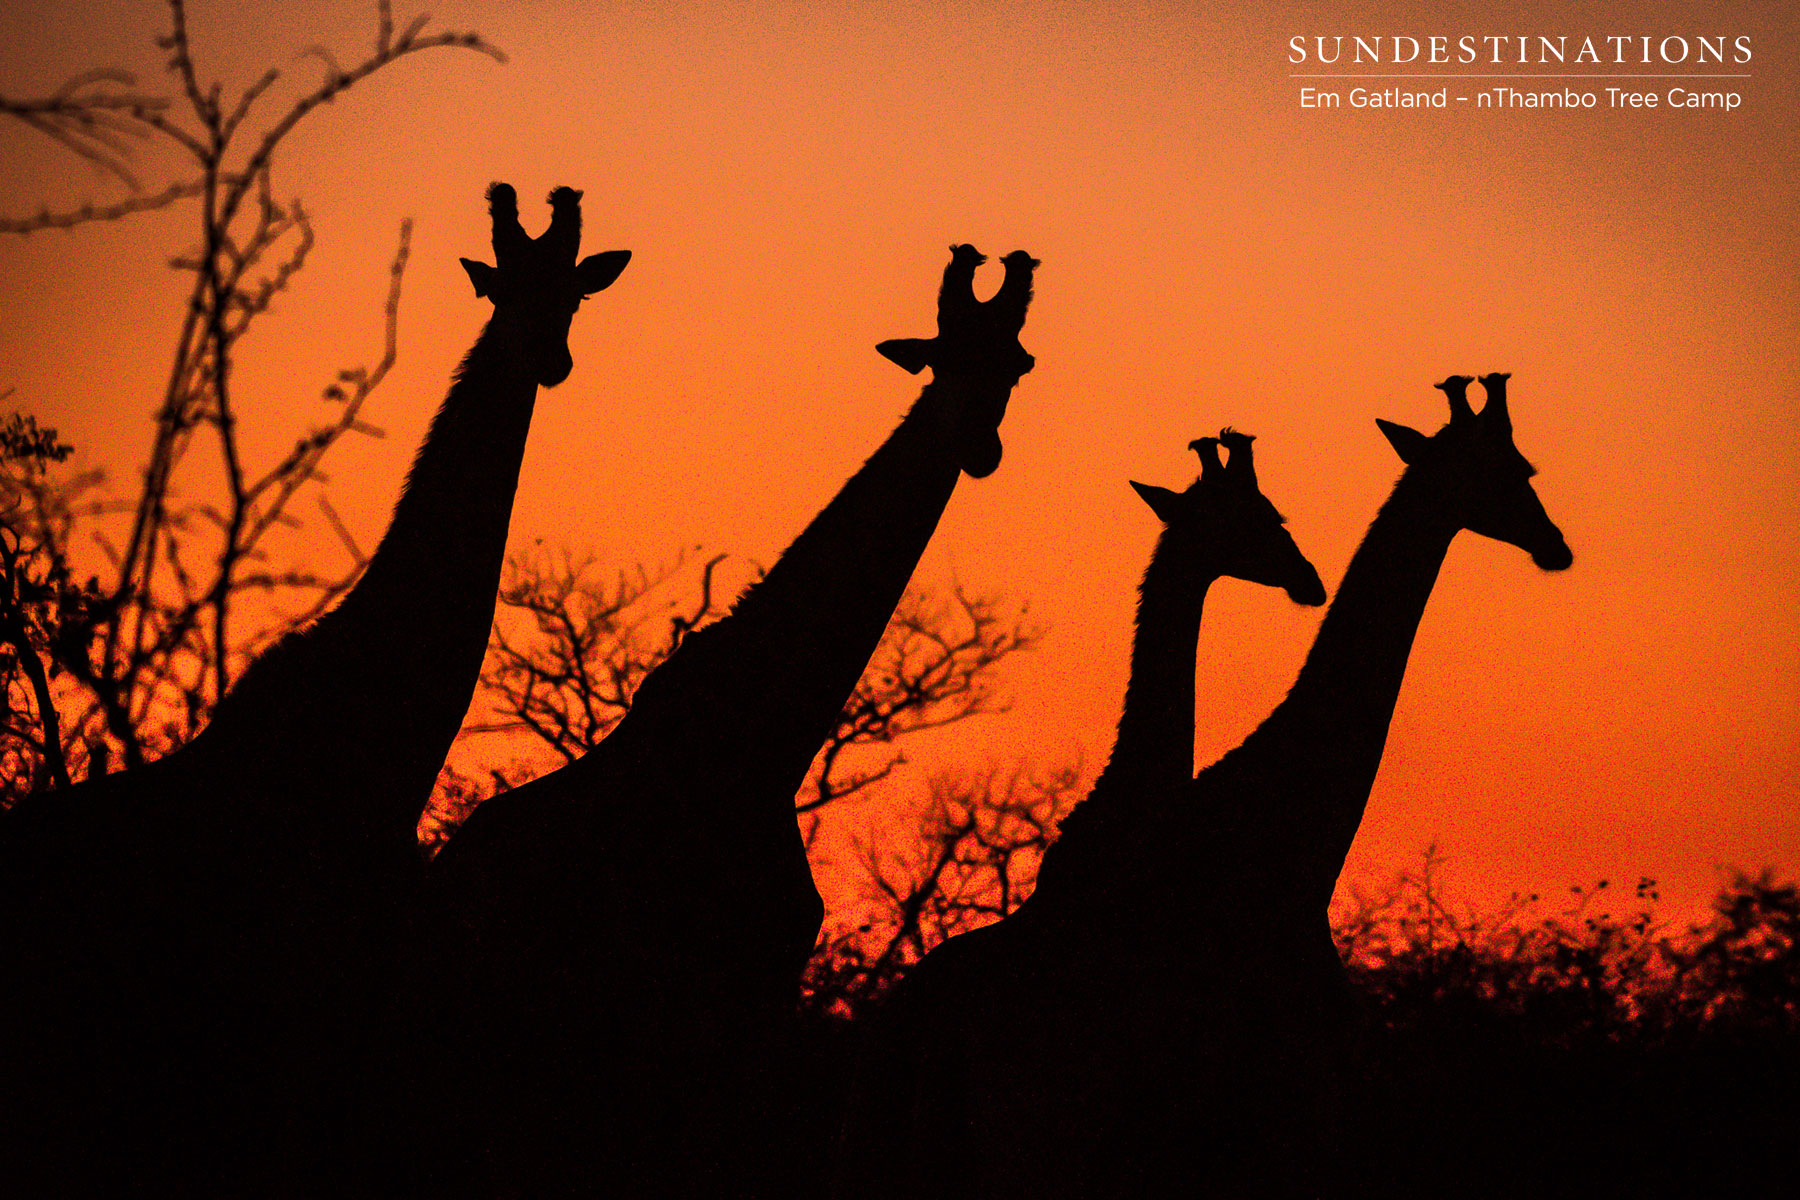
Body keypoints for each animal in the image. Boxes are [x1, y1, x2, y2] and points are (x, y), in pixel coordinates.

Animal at [418, 243, 1038, 1197]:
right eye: (942, 357)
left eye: (1013, 363)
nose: (978, 443)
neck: (761, 748)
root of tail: (452, 865)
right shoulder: (658, 1011)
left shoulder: (748, 1012)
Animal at [847, 374, 1570, 1198]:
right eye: (1517, 471)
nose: (1557, 545)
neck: (1290, 845)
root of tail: (922, 1033)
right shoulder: (1305, 1105)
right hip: (1038, 1146)